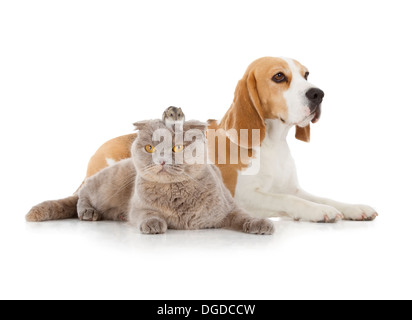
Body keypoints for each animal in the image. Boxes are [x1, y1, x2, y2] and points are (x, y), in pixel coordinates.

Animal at [28, 57, 376, 222]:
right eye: (279, 77)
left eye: (306, 74)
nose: (318, 94)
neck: (272, 142)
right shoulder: (243, 196)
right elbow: (291, 202)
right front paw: (318, 213)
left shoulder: (292, 187)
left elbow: (320, 197)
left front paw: (351, 207)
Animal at [75, 120, 274, 235]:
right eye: (149, 148)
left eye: (177, 148)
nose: (161, 160)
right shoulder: (138, 207)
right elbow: (146, 213)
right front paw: (153, 224)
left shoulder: (229, 207)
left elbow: (243, 215)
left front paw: (261, 224)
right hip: (109, 186)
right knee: (84, 191)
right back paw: (88, 212)